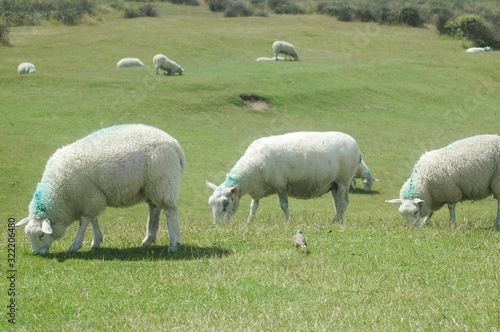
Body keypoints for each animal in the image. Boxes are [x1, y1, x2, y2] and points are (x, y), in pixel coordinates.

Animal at [17, 124, 188, 254]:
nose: (37, 253)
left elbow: (84, 221)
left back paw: (174, 245)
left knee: (170, 212)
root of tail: (174, 144)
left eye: (40, 235)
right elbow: (93, 219)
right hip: (152, 186)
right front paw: (97, 241)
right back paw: (148, 239)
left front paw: (75, 245)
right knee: (154, 210)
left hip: (164, 181)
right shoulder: (94, 197)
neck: (61, 195)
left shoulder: (89, 196)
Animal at [205, 132, 362, 223]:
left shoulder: (281, 186)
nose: (217, 226)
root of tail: (354, 142)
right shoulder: (257, 190)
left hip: (344, 180)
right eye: (211, 204)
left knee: (344, 202)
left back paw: (336, 222)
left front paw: (288, 222)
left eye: (225, 204)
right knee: (338, 202)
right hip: (334, 184)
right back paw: (338, 220)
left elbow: (284, 206)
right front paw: (250, 222)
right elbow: (253, 207)